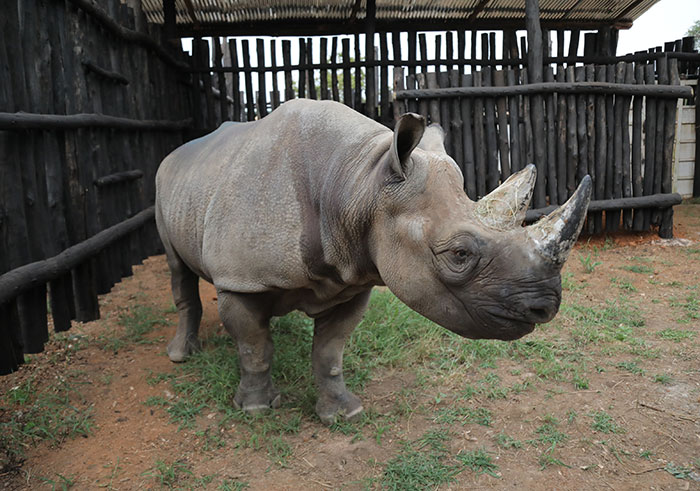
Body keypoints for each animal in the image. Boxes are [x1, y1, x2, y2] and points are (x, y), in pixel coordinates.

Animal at [155, 99, 591, 424]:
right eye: (459, 254)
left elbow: (329, 352)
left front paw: (342, 413)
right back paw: (181, 356)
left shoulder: (351, 279)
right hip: (164, 185)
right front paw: (256, 409)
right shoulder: (240, 279)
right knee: (178, 269)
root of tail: (178, 152)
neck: (358, 182)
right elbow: (253, 347)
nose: (545, 307)